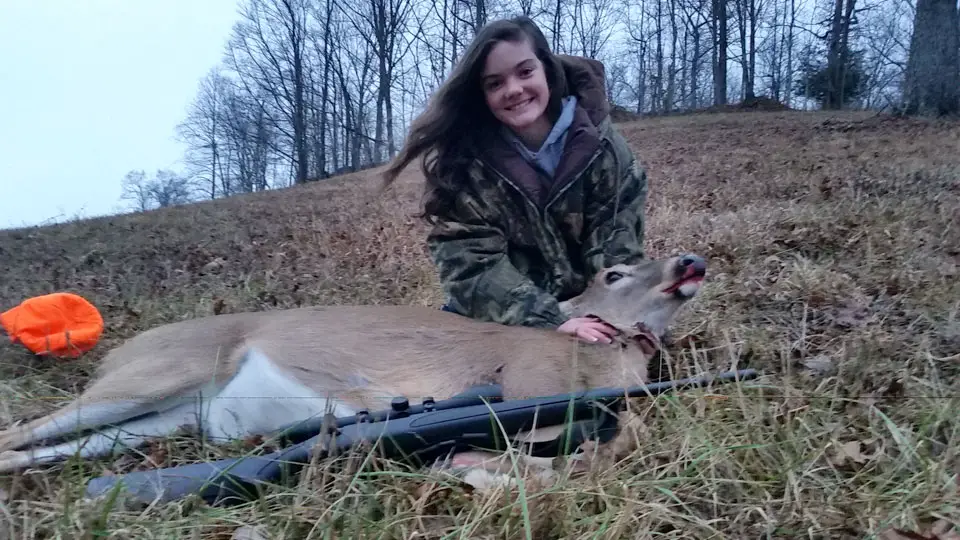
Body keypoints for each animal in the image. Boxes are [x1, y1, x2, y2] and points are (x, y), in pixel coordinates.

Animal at [0, 253, 707, 487]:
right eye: (614, 272)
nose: (689, 262)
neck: (610, 356)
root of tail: (120, 348)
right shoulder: (525, 381)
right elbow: (592, 443)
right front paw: (483, 469)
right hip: (156, 375)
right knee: (19, 430)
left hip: (162, 420)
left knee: (45, 447)